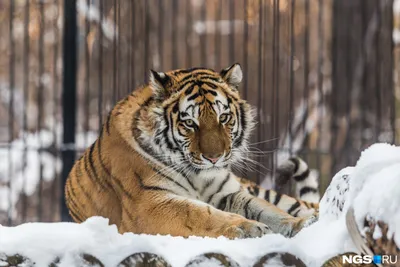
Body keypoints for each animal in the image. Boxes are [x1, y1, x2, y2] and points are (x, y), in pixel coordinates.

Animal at [64, 63, 318, 240]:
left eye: (223, 118)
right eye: (189, 123)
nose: (214, 158)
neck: (198, 175)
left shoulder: (229, 193)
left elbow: (266, 209)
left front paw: (300, 224)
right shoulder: (148, 203)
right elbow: (199, 214)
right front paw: (247, 227)